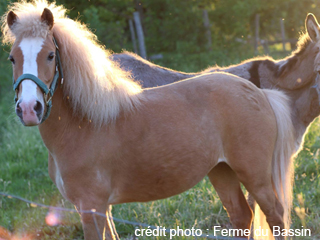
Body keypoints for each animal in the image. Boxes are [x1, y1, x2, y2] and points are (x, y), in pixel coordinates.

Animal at [1, 0, 298, 239]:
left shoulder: (91, 207)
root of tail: (259, 92)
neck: (83, 125)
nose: (29, 109)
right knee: (241, 216)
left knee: (276, 216)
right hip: (222, 171)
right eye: (12, 58)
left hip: (255, 176)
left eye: (50, 55)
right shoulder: (102, 208)